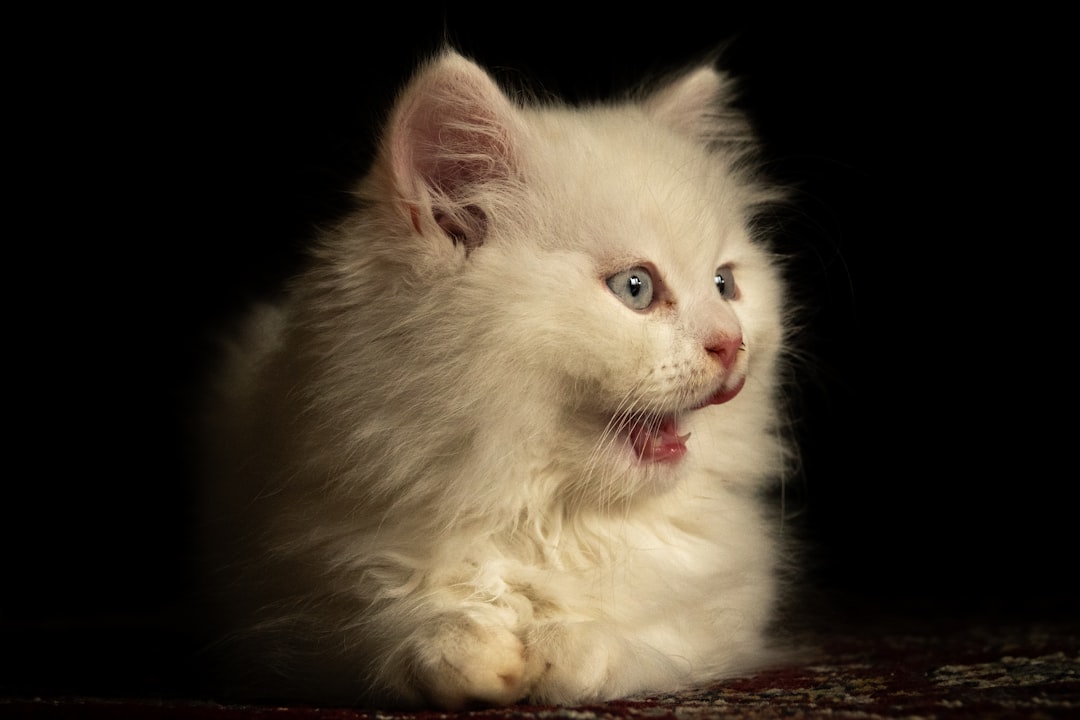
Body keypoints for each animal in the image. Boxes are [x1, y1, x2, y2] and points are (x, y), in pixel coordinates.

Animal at [200, 49, 794, 708]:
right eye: (635, 288)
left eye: (725, 285)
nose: (731, 343)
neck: (540, 515)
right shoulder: (291, 608)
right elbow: (388, 625)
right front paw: (469, 651)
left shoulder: (722, 602)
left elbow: (648, 635)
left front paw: (568, 649)